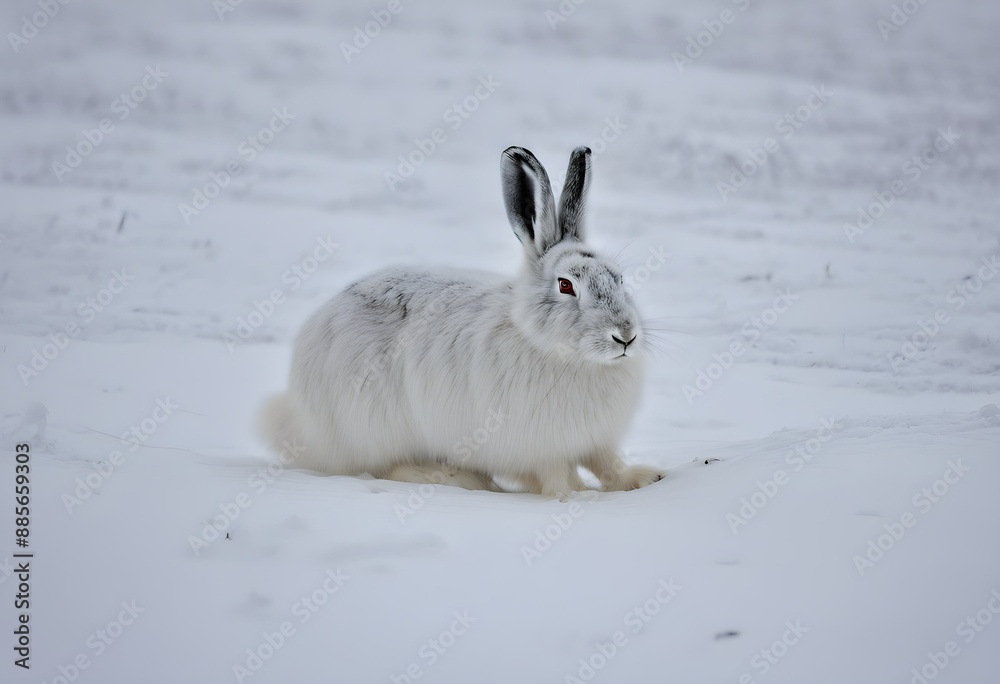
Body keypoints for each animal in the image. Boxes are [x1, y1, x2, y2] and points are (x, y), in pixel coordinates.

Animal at [260, 145, 665, 497]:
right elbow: (553, 474)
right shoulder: (537, 445)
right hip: (375, 429)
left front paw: (644, 479)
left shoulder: (597, 439)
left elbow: (607, 464)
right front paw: (573, 496)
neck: (560, 352)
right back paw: (453, 478)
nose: (625, 336)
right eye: (566, 285)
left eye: (619, 279)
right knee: (385, 467)